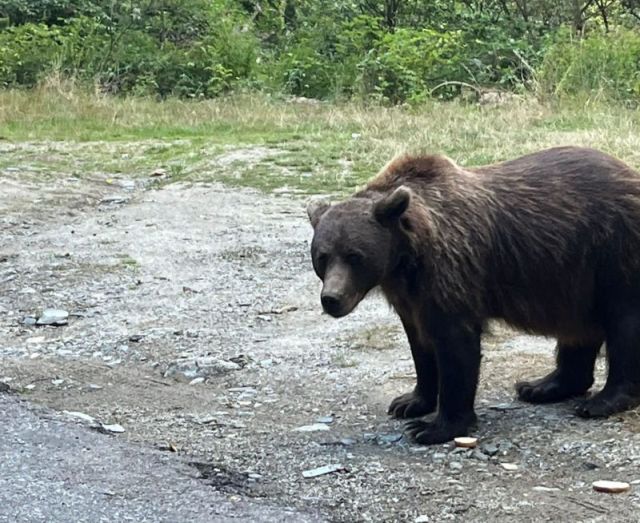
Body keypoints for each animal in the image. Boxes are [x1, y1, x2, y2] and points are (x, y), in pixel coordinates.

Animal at [308, 146, 640, 446]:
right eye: (323, 256)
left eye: (355, 256)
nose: (332, 298)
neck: (405, 258)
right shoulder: (410, 297)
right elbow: (420, 345)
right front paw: (410, 401)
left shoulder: (452, 272)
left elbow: (455, 346)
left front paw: (434, 427)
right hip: (575, 278)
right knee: (578, 328)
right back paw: (542, 386)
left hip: (612, 250)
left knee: (623, 322)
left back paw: (601, 401)